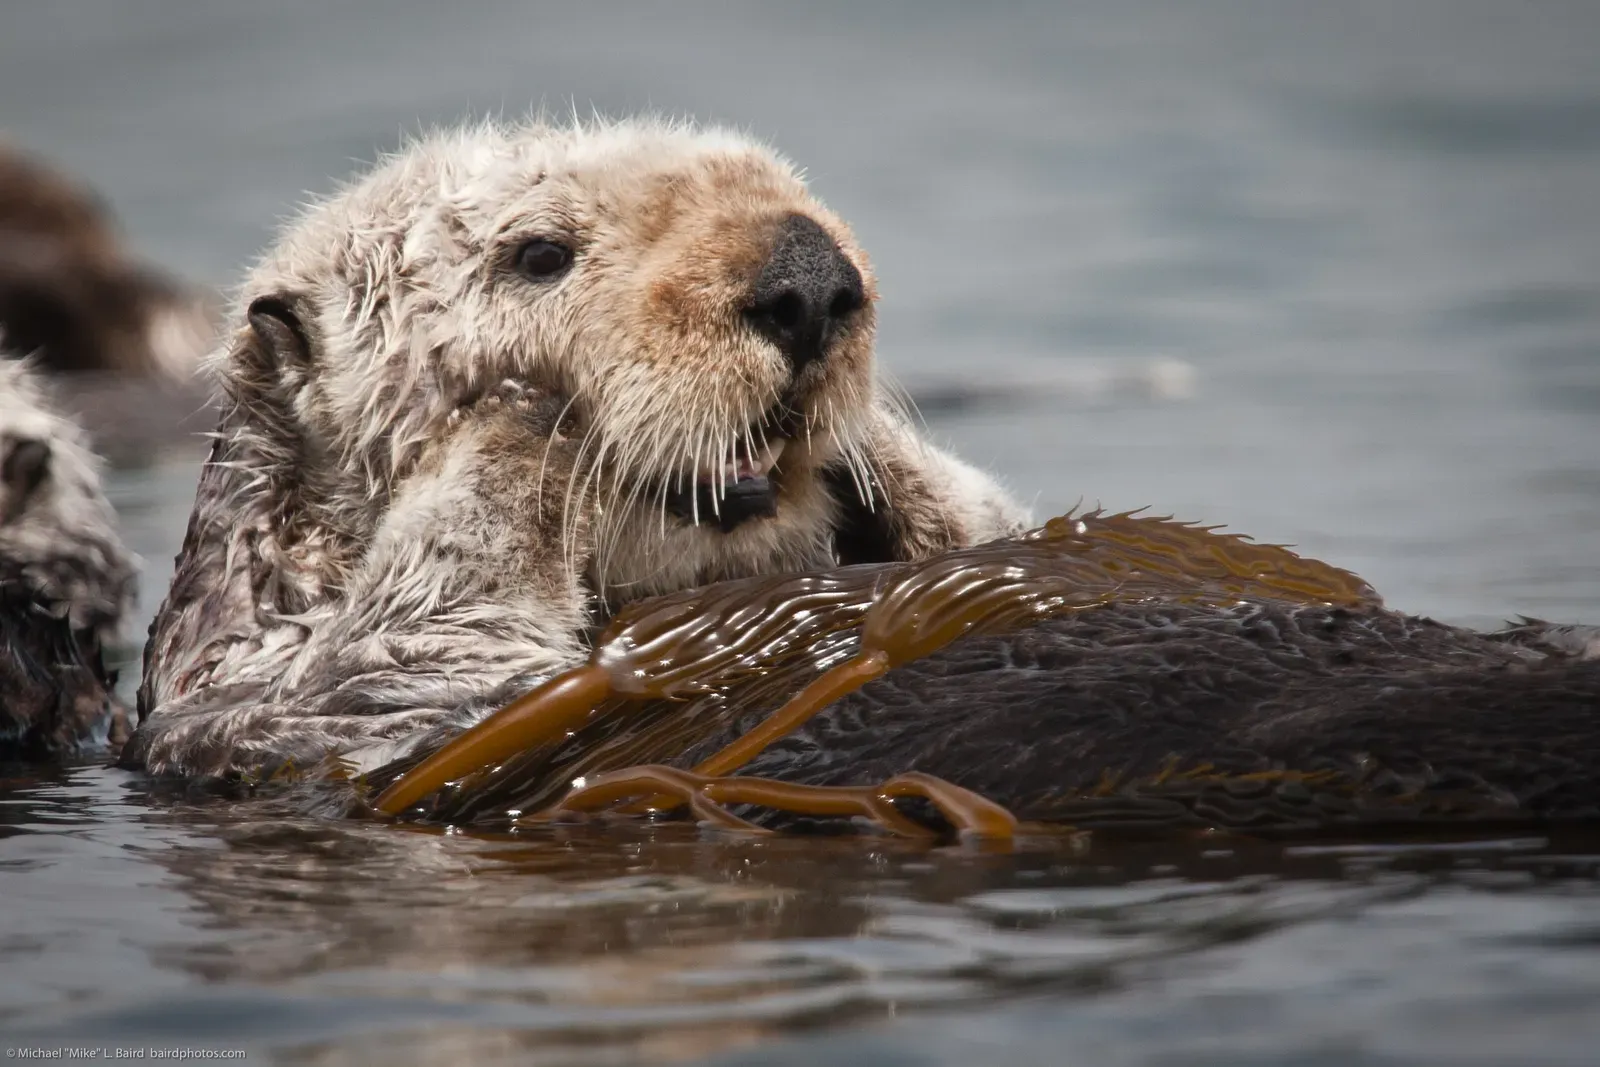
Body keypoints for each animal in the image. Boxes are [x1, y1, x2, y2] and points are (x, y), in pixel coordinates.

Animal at [126, 117, 1029, 780]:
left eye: (793, 194)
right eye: (540, 254)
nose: (809, 279)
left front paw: (882, 452)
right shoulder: (275, 700)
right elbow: (419, 649)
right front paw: (522, 416)